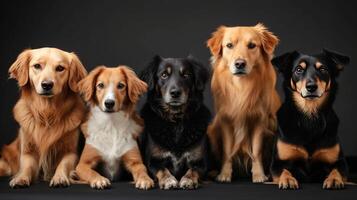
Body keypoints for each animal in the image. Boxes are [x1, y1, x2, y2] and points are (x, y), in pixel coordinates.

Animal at [0, 47, 87, 188]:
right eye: (37, 66)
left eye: (60, 68)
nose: (47, 85)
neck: (47, 114)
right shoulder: (28, 151)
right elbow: (27, 167)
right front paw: (21, 178)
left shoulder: (71, 152)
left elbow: (63, 164)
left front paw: (60, 177)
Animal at [139, 55, 210, 190]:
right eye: (164, 75)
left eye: (186, 75)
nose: (175, 93)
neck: (176, 121)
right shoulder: (153, 161)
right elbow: (163, 170)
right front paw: (168, 180)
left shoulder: (200, 162)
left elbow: (193, 170)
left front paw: (188, 180)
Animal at [207, 23, 280, 183]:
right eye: (229, 45)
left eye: (252, 45)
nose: (240, 64)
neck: (242, 87)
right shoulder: (226, 120)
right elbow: (227, 151)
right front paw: (225, 174)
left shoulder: (259, 120)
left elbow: (256, 151)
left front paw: (259, 175)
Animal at [270, 49, 348, 190]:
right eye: (298, 70)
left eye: (323, 69)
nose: (311, 86)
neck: (310, 116)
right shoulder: (277, 163)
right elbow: (284, 170)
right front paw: (288, 179)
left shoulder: (340, 162)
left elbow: (336, 170)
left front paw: (334, 179)